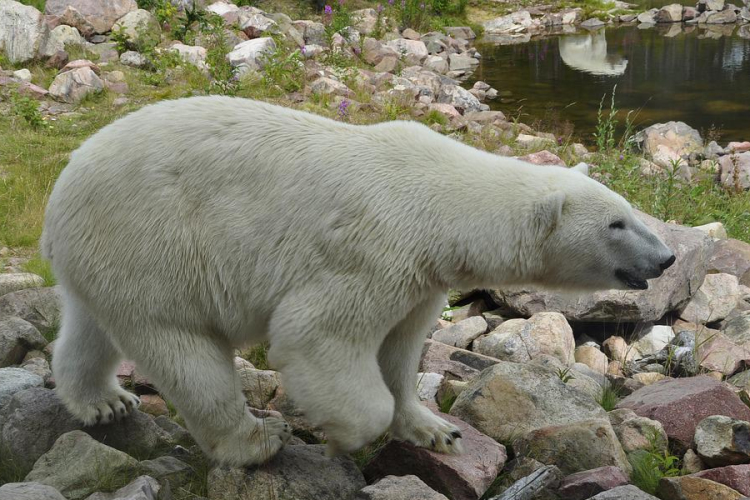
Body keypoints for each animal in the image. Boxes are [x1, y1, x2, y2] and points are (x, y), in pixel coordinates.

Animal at [41, 96, 676, 464]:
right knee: (183, 349)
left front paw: (434, 430)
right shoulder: (374, 251)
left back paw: (103, 402)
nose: (666, 258)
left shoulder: (421, 277)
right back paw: (253, 442)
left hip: (113, 256)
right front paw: (344, 431)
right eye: (617, 223)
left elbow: (401, 350)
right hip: (158, 241)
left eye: (630, 210)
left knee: (92, 327)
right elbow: (317, 335)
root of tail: (63, 187)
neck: (439, 202)